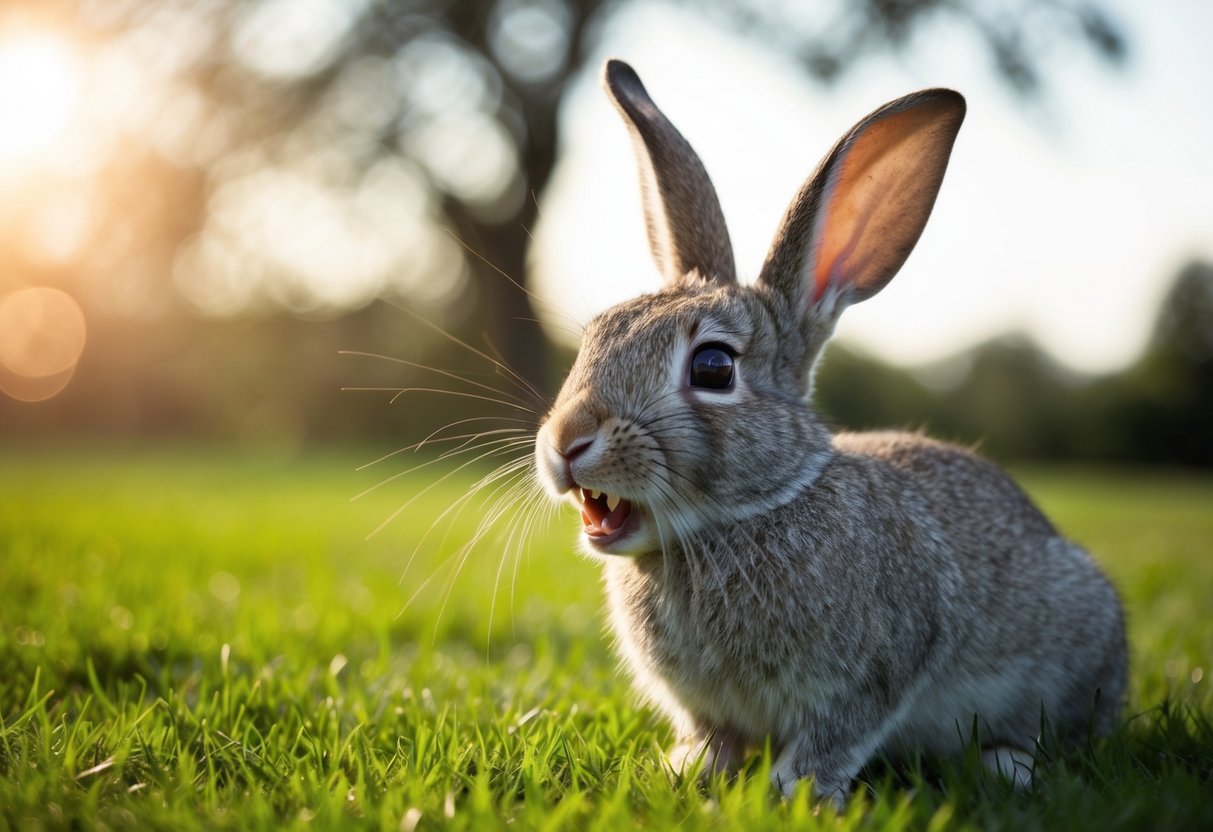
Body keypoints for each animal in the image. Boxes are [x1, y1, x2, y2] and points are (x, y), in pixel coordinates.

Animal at [533, 59, 1127, 804]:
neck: (746, 517)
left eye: (713, 367)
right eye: (594, 336)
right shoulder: (707, 706)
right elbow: (714, 737)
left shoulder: (877, 671)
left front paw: (794, 792)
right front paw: (685, 769)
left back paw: (1008, 765)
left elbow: (835, 738)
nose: (565, 443)